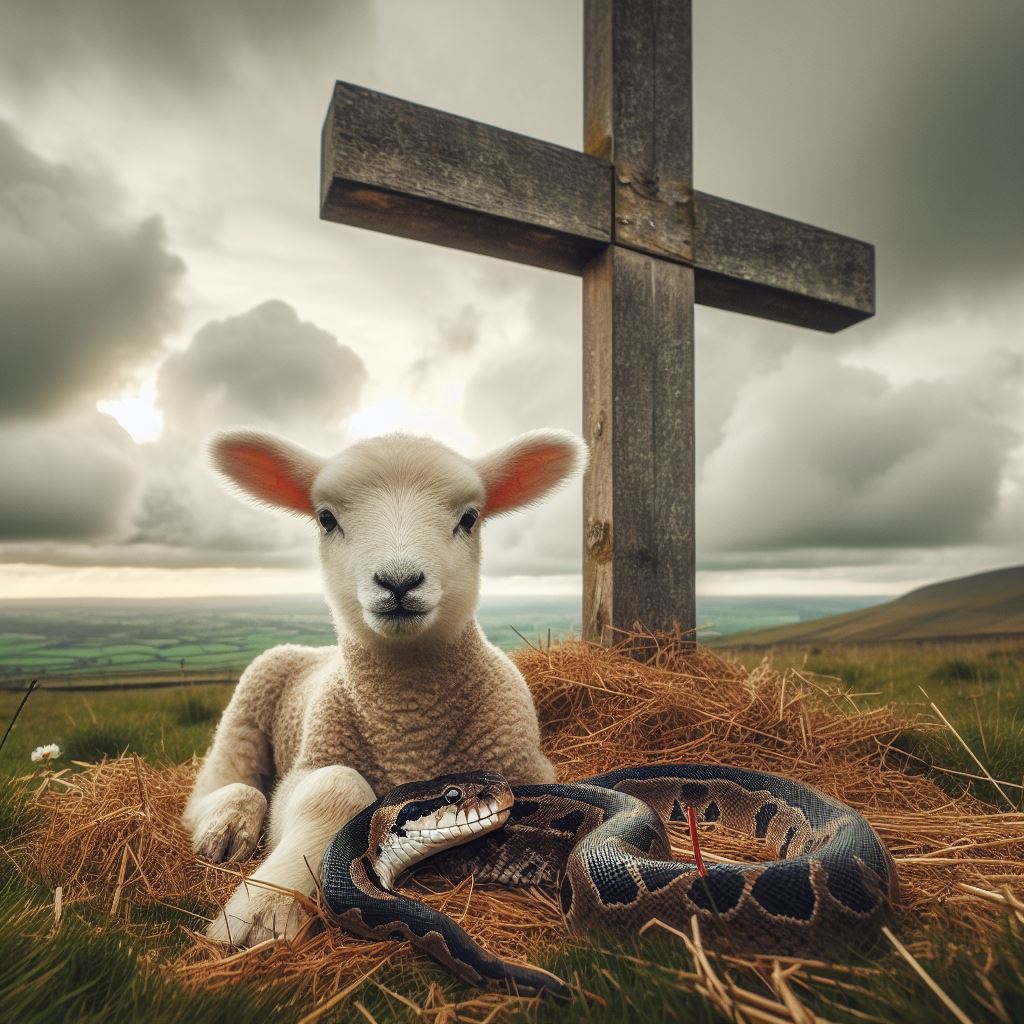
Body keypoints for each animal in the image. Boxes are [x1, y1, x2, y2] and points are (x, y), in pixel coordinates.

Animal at [182, 426, 588, 946]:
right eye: (326, 518)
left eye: (469, 518)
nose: (399, 582)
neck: (408, 728)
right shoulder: (310, 763)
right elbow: (334, 788)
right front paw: (262, 911)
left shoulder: (525, 766)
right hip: (247, 707)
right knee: (217, 790)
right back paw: (226, 824)